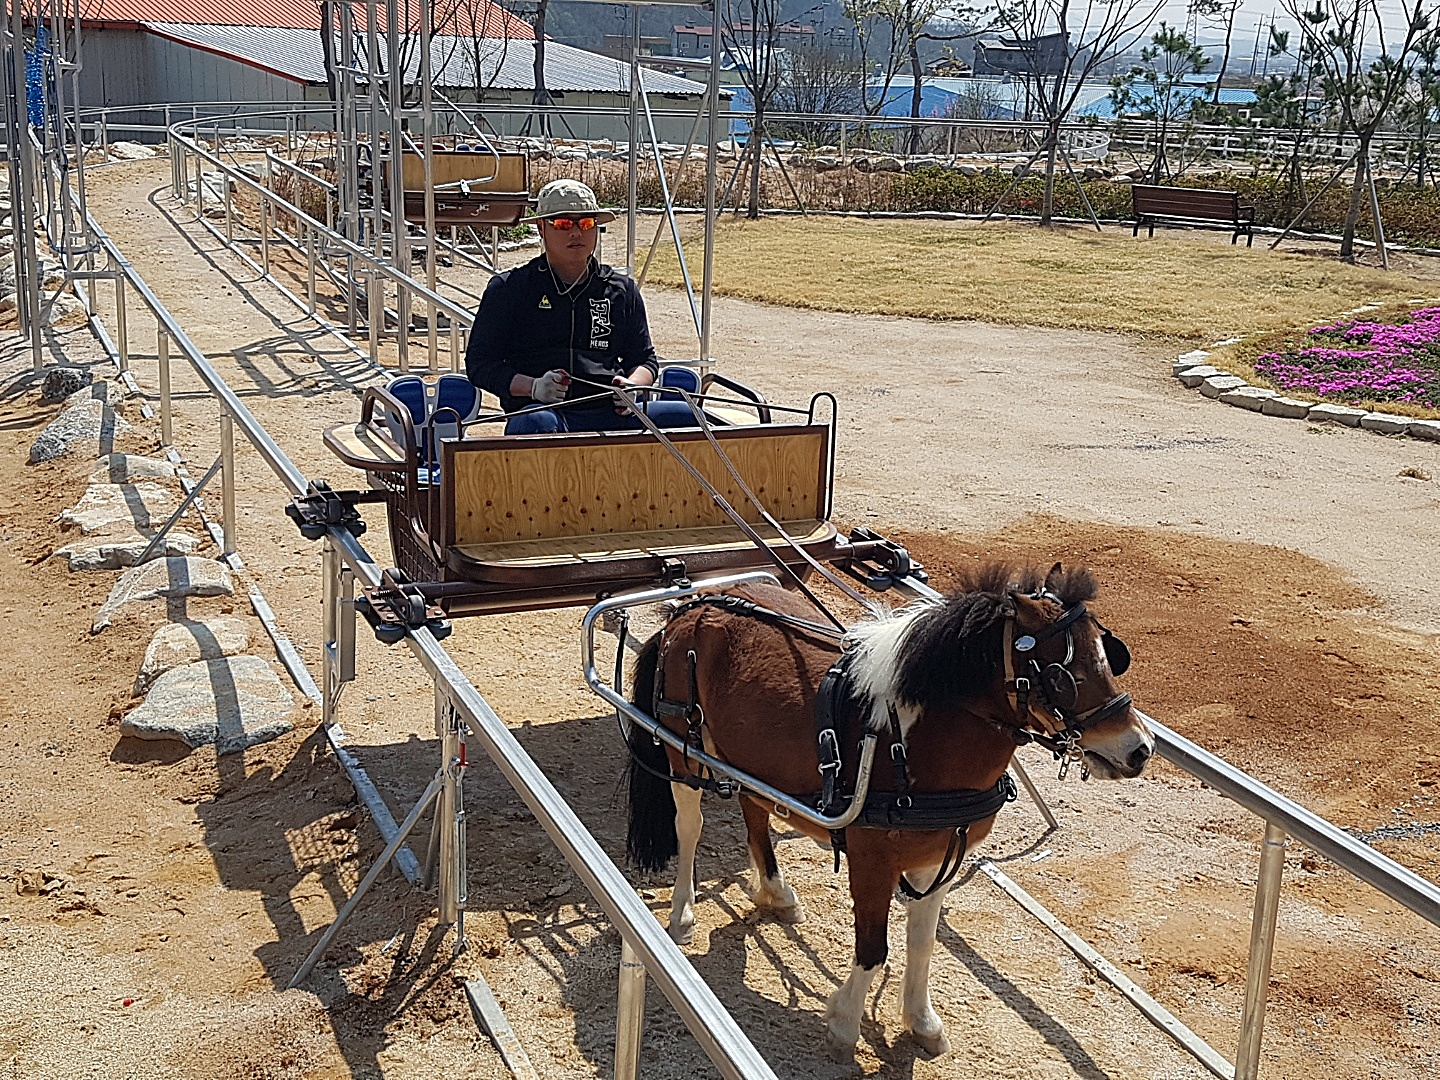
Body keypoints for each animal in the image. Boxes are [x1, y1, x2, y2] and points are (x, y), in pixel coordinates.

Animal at [624, 561, 1154, 1060]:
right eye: (1062, 673)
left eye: (1109, 655)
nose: (1140, 749)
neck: (911, 743)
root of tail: (690, 607)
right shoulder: (872, 862)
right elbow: (873, 947)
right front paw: (844, 1023)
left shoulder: (938, 859)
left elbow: (921, 943)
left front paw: (921, 1020)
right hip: (684, 749)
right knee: (690, 826)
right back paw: (683, 911)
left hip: (750, 757)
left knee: (755, 810)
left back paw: (776, 892)